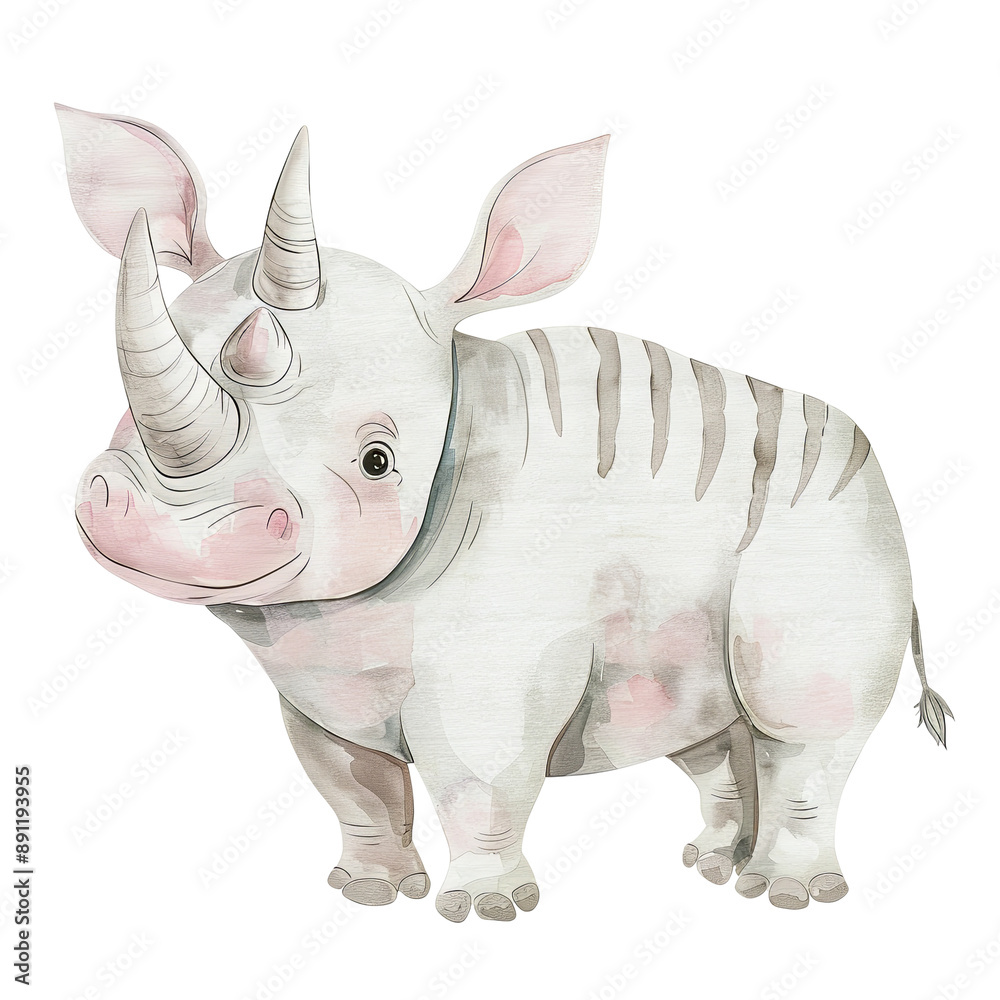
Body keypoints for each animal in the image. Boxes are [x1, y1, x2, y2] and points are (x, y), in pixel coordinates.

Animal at [58, 104, 952, 921]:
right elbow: (352, 783)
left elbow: (478, 777)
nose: (156, 528)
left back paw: (789, 895)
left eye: (377, 462)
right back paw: (708, 865)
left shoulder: (494, 656)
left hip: (833, 516)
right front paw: (367, 892)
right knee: (700, 723)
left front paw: (484, 909)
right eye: (124, 415)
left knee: (798, 724)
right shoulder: (319, 674)